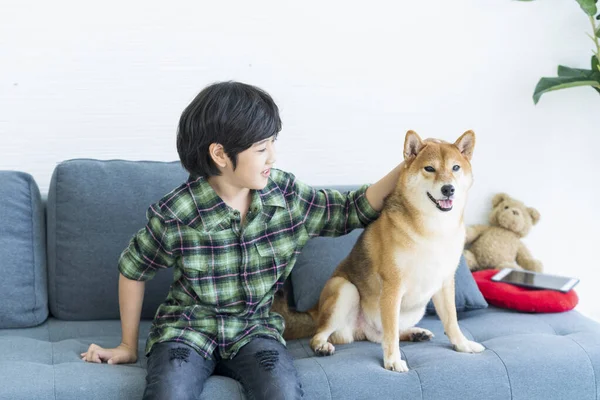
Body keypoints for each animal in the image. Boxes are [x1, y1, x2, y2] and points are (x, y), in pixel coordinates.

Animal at [274, 130, 486, 372]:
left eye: (456, 168)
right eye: (429, 168)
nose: (448, 189)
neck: (433, 229)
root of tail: (314, 310)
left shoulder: (444, 283)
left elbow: (451, 321)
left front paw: (463, 344)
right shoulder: (393, 287)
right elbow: (391, 333)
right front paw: (393, 361)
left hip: (415, 309)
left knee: (380, 335)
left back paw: (415, 333)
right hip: (345, 289)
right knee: (324, 333)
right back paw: (322, 346)